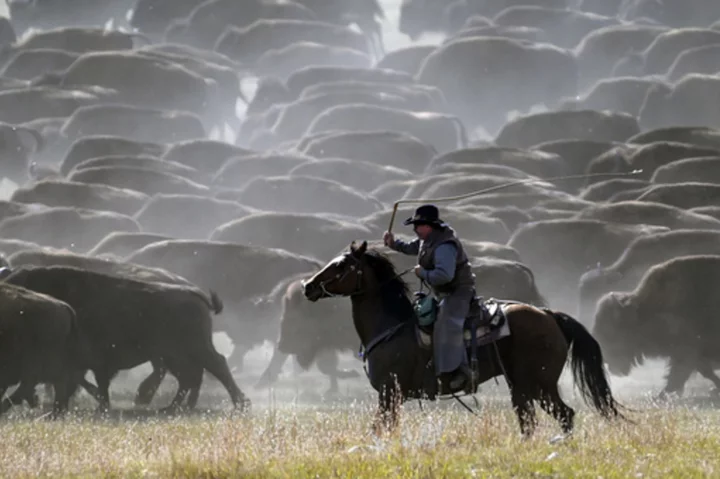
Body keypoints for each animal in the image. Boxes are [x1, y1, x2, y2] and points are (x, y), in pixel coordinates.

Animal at [300, 244, 628, 438]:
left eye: (341, 265)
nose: (308, 286)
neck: (393, 327)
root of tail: (549, 315)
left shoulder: (388, 392)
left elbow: (380, 429)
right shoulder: (390, 396)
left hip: (539, 384)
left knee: (563, 414)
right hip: (522, 386)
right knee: (529, 419)